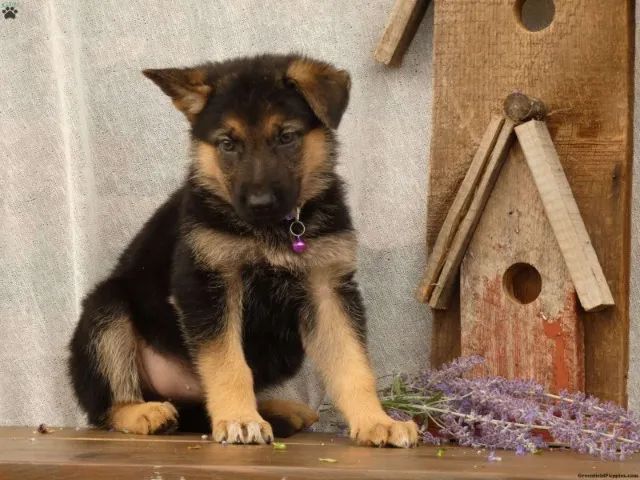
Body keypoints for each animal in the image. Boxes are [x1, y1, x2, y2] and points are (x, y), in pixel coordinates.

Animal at [69, 52, 420, 446]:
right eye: (227, 144)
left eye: (286, 137)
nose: (260, 203)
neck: (276, 230)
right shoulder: (208, 285)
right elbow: (228, 363)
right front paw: (239, 419)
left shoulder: (328, 289)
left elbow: (353, 364)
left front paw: (377, 420)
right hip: (107, 309)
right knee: (106, 407)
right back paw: (143, 412)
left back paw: (280, 410)